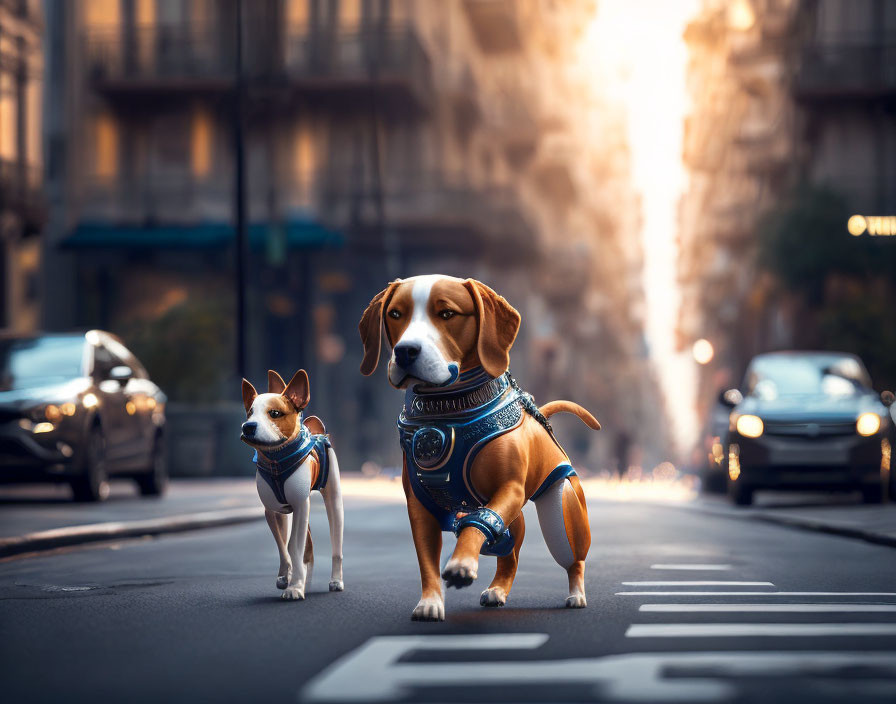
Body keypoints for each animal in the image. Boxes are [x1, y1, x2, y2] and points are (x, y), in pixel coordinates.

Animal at [242, 368, 344, 600]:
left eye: (274, 413)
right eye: (250, 413)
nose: (248, 426)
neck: (276, 459)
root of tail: (315, 429)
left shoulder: (300, 505)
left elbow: (295, 547)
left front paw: (295, 587)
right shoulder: (273, 510)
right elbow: (284, 546)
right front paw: (286, 577)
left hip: (334, 501)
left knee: (336, 544)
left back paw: (335, 580)